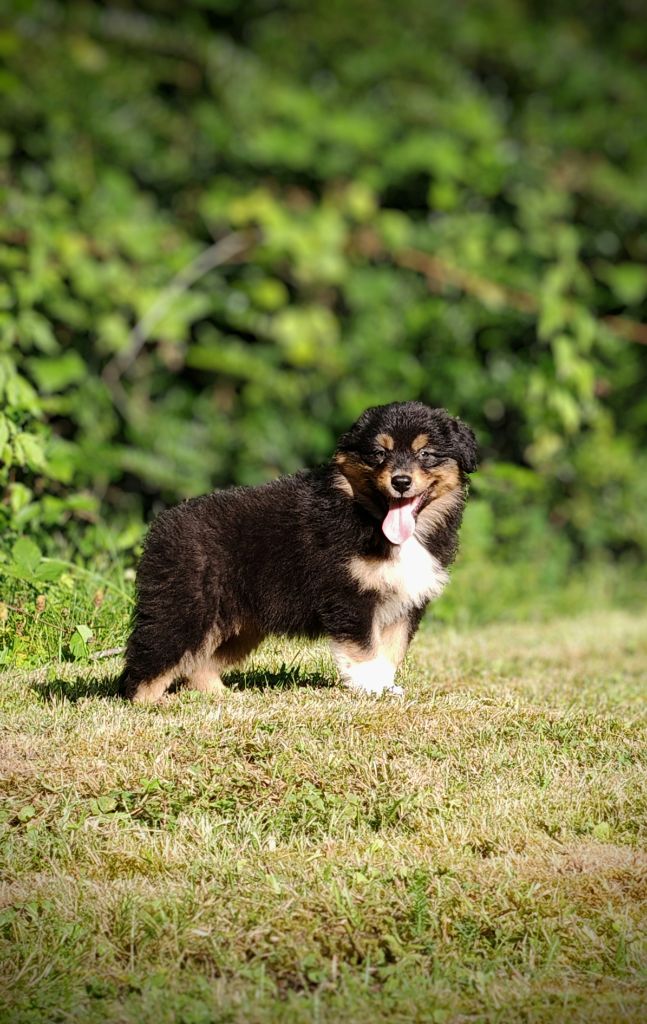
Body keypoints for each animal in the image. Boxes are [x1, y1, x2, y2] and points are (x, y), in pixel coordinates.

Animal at [120, 403, 475, 700]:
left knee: (199, 663)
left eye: (426, 453)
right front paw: (371, 688)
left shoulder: (405, 602)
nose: (401, 481)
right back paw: (146, 704)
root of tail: (161, 525)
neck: (367, 515)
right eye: (378, 453)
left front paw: (386, 688)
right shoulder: (350, 596)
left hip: (238, 626)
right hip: (186, 607)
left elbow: (390, 651)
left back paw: (222, 696)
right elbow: (365, 650)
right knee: (151, 658)